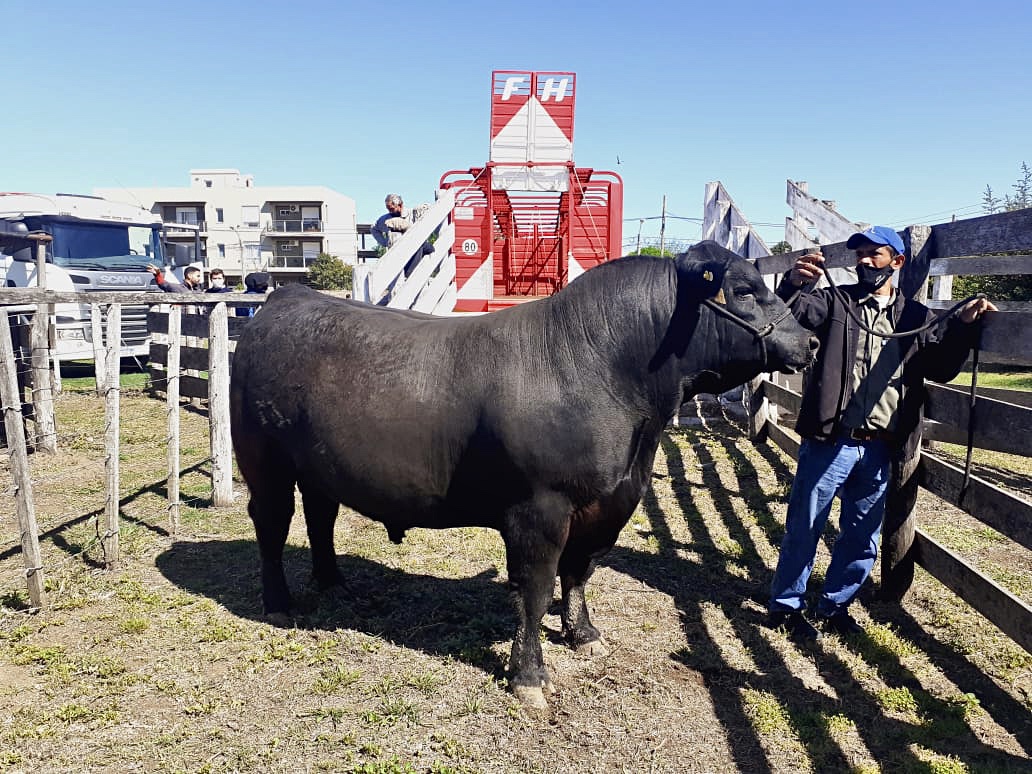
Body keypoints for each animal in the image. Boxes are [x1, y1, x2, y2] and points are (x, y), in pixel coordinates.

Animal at [230, 241, 817, 710]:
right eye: (743, 289)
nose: (808, 343)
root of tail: (288, 298)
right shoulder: (539, 510)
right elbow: (535, 589)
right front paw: (530, 675)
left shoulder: (604, 504)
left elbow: (578, 573)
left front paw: (584, 635)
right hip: (264, 461)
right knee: (272, 524)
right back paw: (279, 604)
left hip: (316, 466)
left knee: (321, 516)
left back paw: (333, 582)